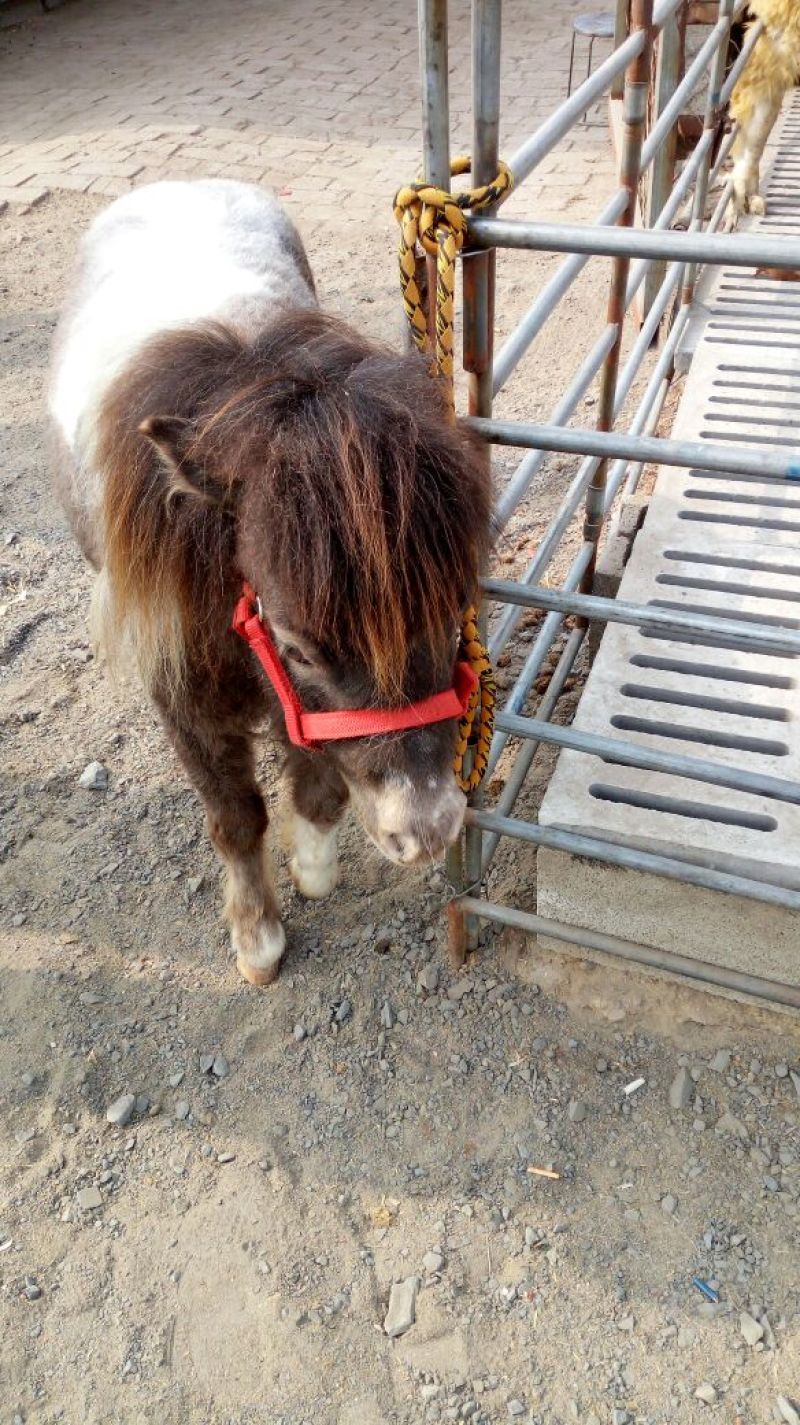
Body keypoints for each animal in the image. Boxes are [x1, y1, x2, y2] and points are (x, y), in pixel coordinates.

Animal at [50, 179, 492, 986]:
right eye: (297, 644)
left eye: (453, 609)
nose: (430, 829)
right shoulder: (185, 699)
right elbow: (236, 815)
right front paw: (257, 937)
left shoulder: (304, 713)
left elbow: (318, 780)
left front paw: (313, 868)